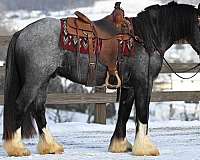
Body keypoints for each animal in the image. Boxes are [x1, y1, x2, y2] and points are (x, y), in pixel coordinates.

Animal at [1, 0, 200, 156]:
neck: (146, 37)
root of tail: (22, 32)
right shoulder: (144, 82)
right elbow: (143, 113)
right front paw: (146, 148)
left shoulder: (129, 86)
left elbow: (124, 112)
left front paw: (120, 145)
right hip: (34, 80)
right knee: (20, 105)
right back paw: (17, 149)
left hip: (43, 80)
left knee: (38, 109)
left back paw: (51, 146)